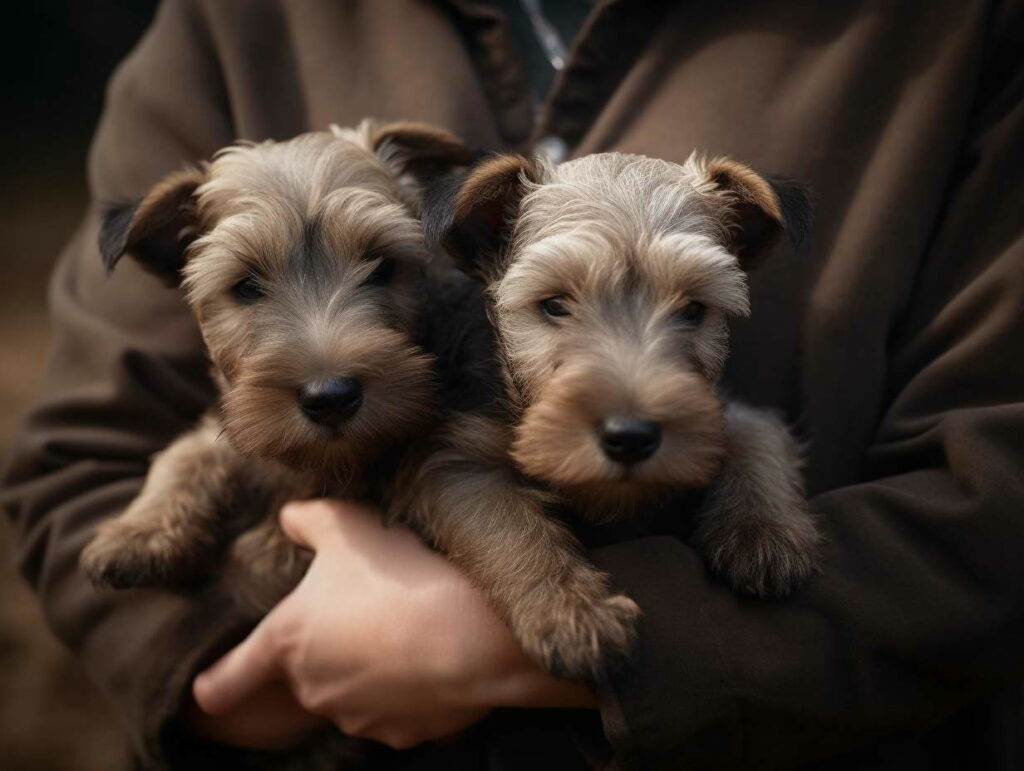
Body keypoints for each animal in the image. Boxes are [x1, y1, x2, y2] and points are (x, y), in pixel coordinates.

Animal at [81, 121, 473, 614]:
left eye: (383, 266)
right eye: (246, 286)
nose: (331, 399)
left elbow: (260, 560)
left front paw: (245, 560)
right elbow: (189, 453)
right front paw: (138, 533)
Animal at [403, 147, 819, 675]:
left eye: (693, 309)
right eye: (554, 305)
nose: (631, 437)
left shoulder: (718, 410)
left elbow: (755, 434)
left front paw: (762, 530)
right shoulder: (457, 464)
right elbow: (507, 528)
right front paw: (572, 612)